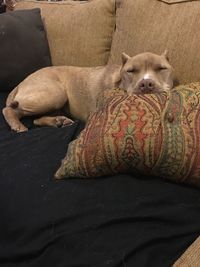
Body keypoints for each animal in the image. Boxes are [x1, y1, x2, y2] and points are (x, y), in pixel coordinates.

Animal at [2, 50, 175, 133]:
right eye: (131, 71)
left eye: (161, 68)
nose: (146, 84)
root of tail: (22, 81)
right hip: (54, 94)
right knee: (9, 109)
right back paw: (17, 125)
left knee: (35, 120)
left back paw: (58, 121)